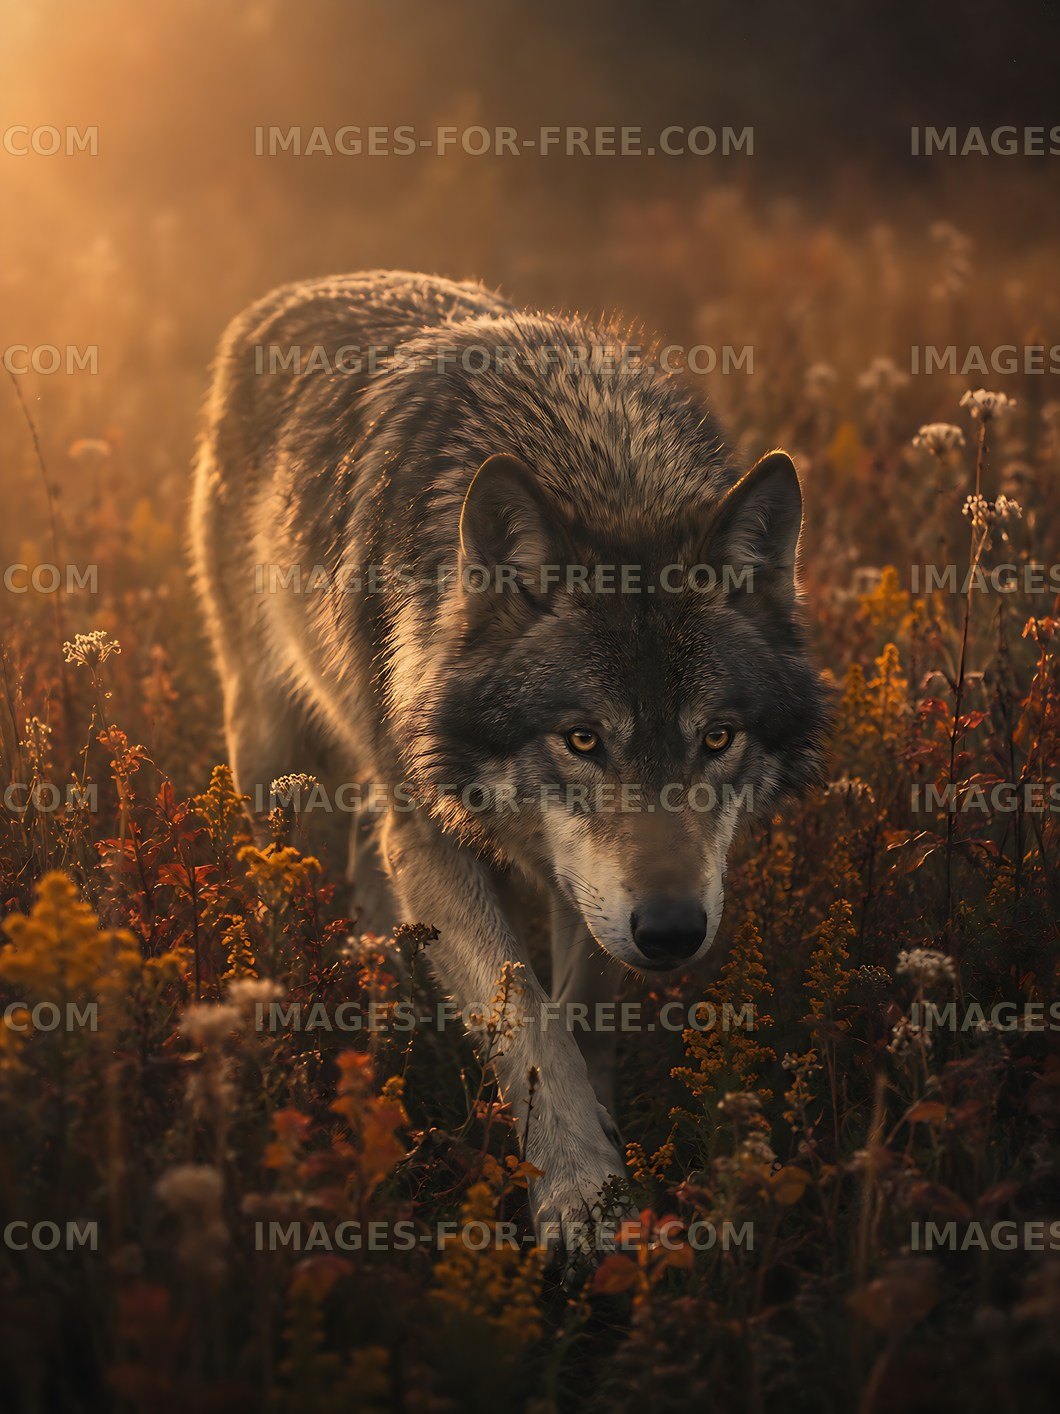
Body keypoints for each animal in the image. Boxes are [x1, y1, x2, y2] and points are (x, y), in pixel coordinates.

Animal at [190, 270, 828, 1248]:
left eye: (717, 738)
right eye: (582, 739)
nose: (674, 932)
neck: (596, 468)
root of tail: (297, 289)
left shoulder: (592, 890)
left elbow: (579, 1016)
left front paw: (603, 1156)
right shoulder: (435, 834)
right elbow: (524, 1016)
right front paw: (580, 1200)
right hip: (272, 744)